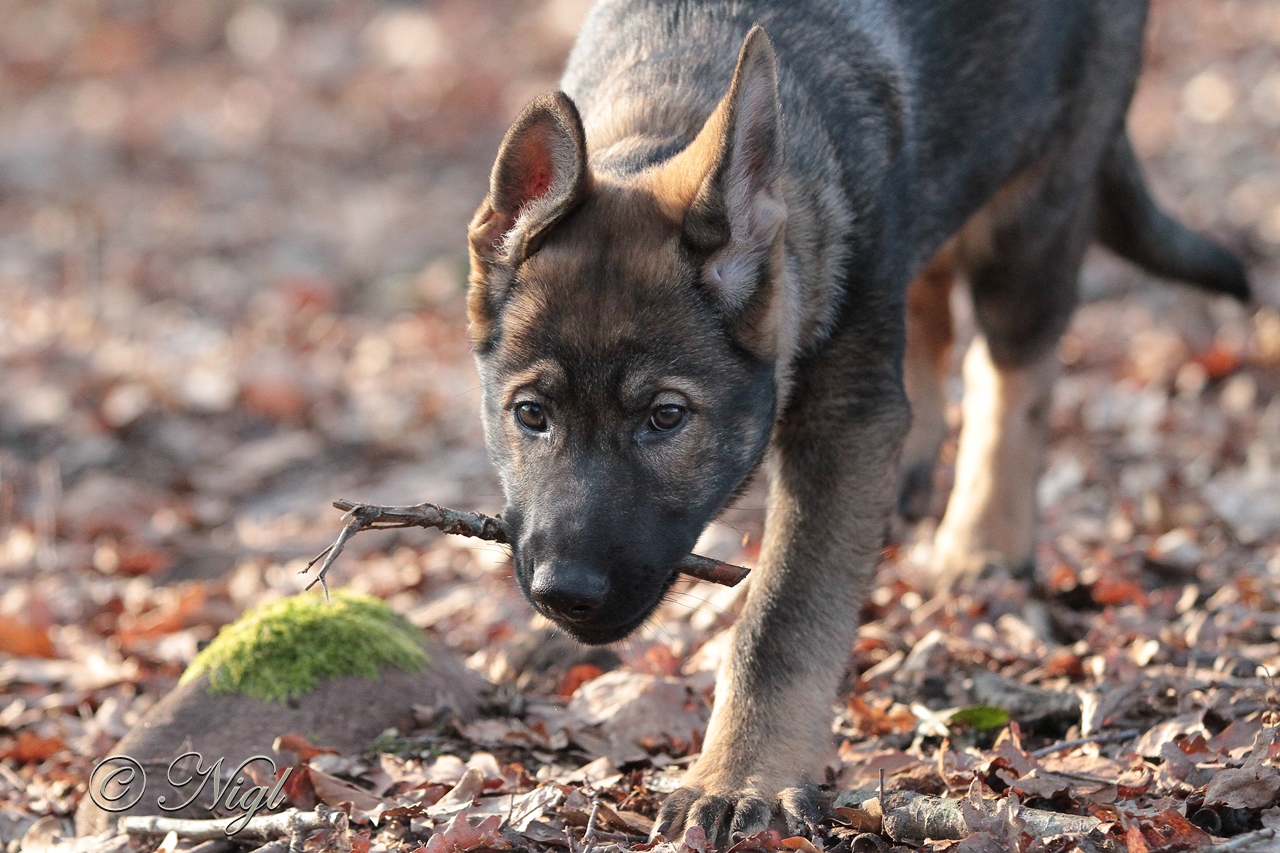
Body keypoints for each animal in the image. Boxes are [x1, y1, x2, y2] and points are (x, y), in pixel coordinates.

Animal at [465, 0, 1244, 835]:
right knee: (930, 309)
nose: (564, 592)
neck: (666, 103)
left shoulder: (845, 419)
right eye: (531, 414)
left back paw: (984, 541)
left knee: (1012, 366)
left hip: (1039, 206)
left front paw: (740, 773)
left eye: (666, 417)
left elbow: (780, 616)